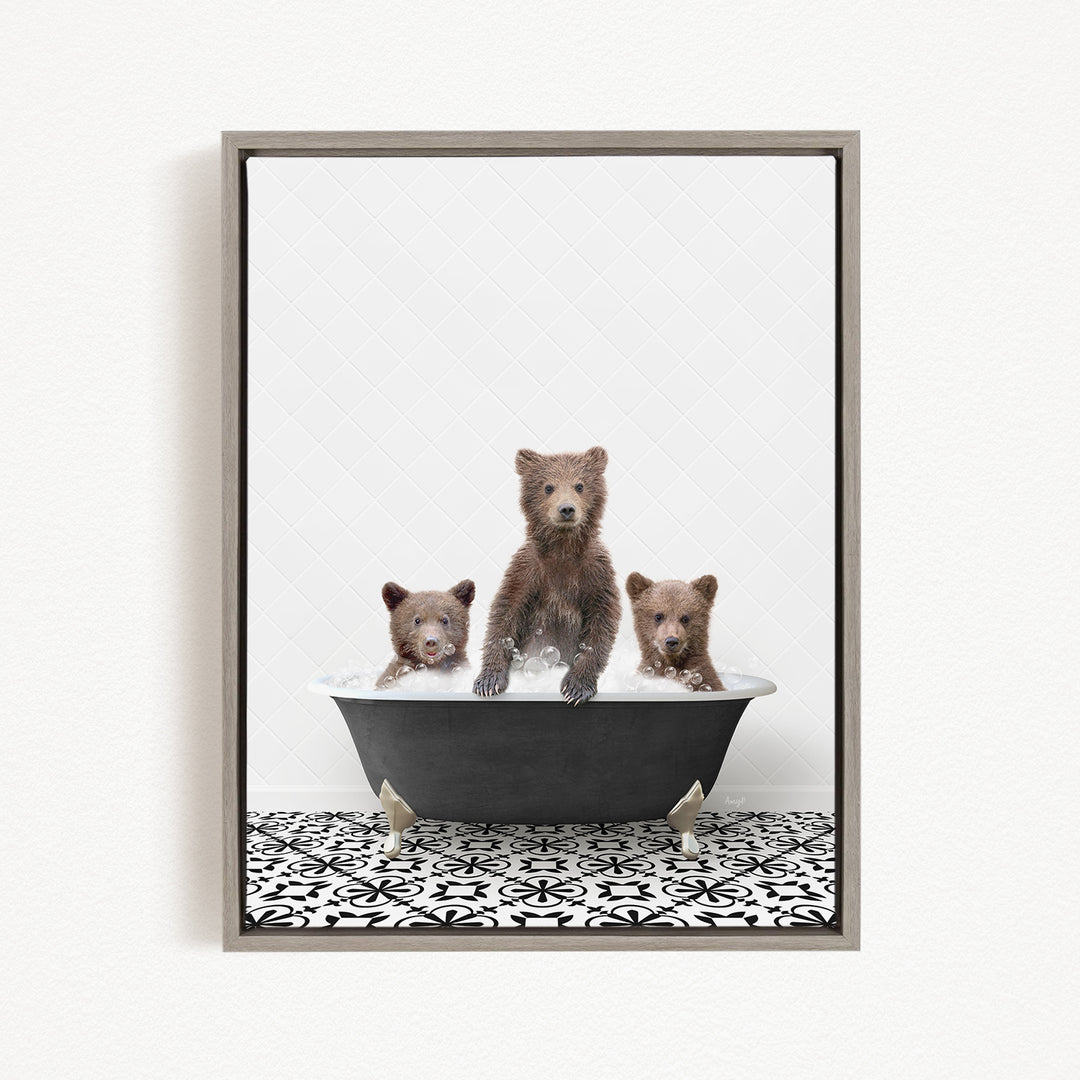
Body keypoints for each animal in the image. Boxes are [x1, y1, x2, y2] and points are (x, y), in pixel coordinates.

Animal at [473, 447, 620, 706]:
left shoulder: (596, 571)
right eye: (548, 487)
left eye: (579, 485)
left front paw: (575, 687)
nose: (567, 509)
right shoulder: (528, 569)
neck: (563, 549)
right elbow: (505, 613)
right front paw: (488, 681)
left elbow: (601, 623)